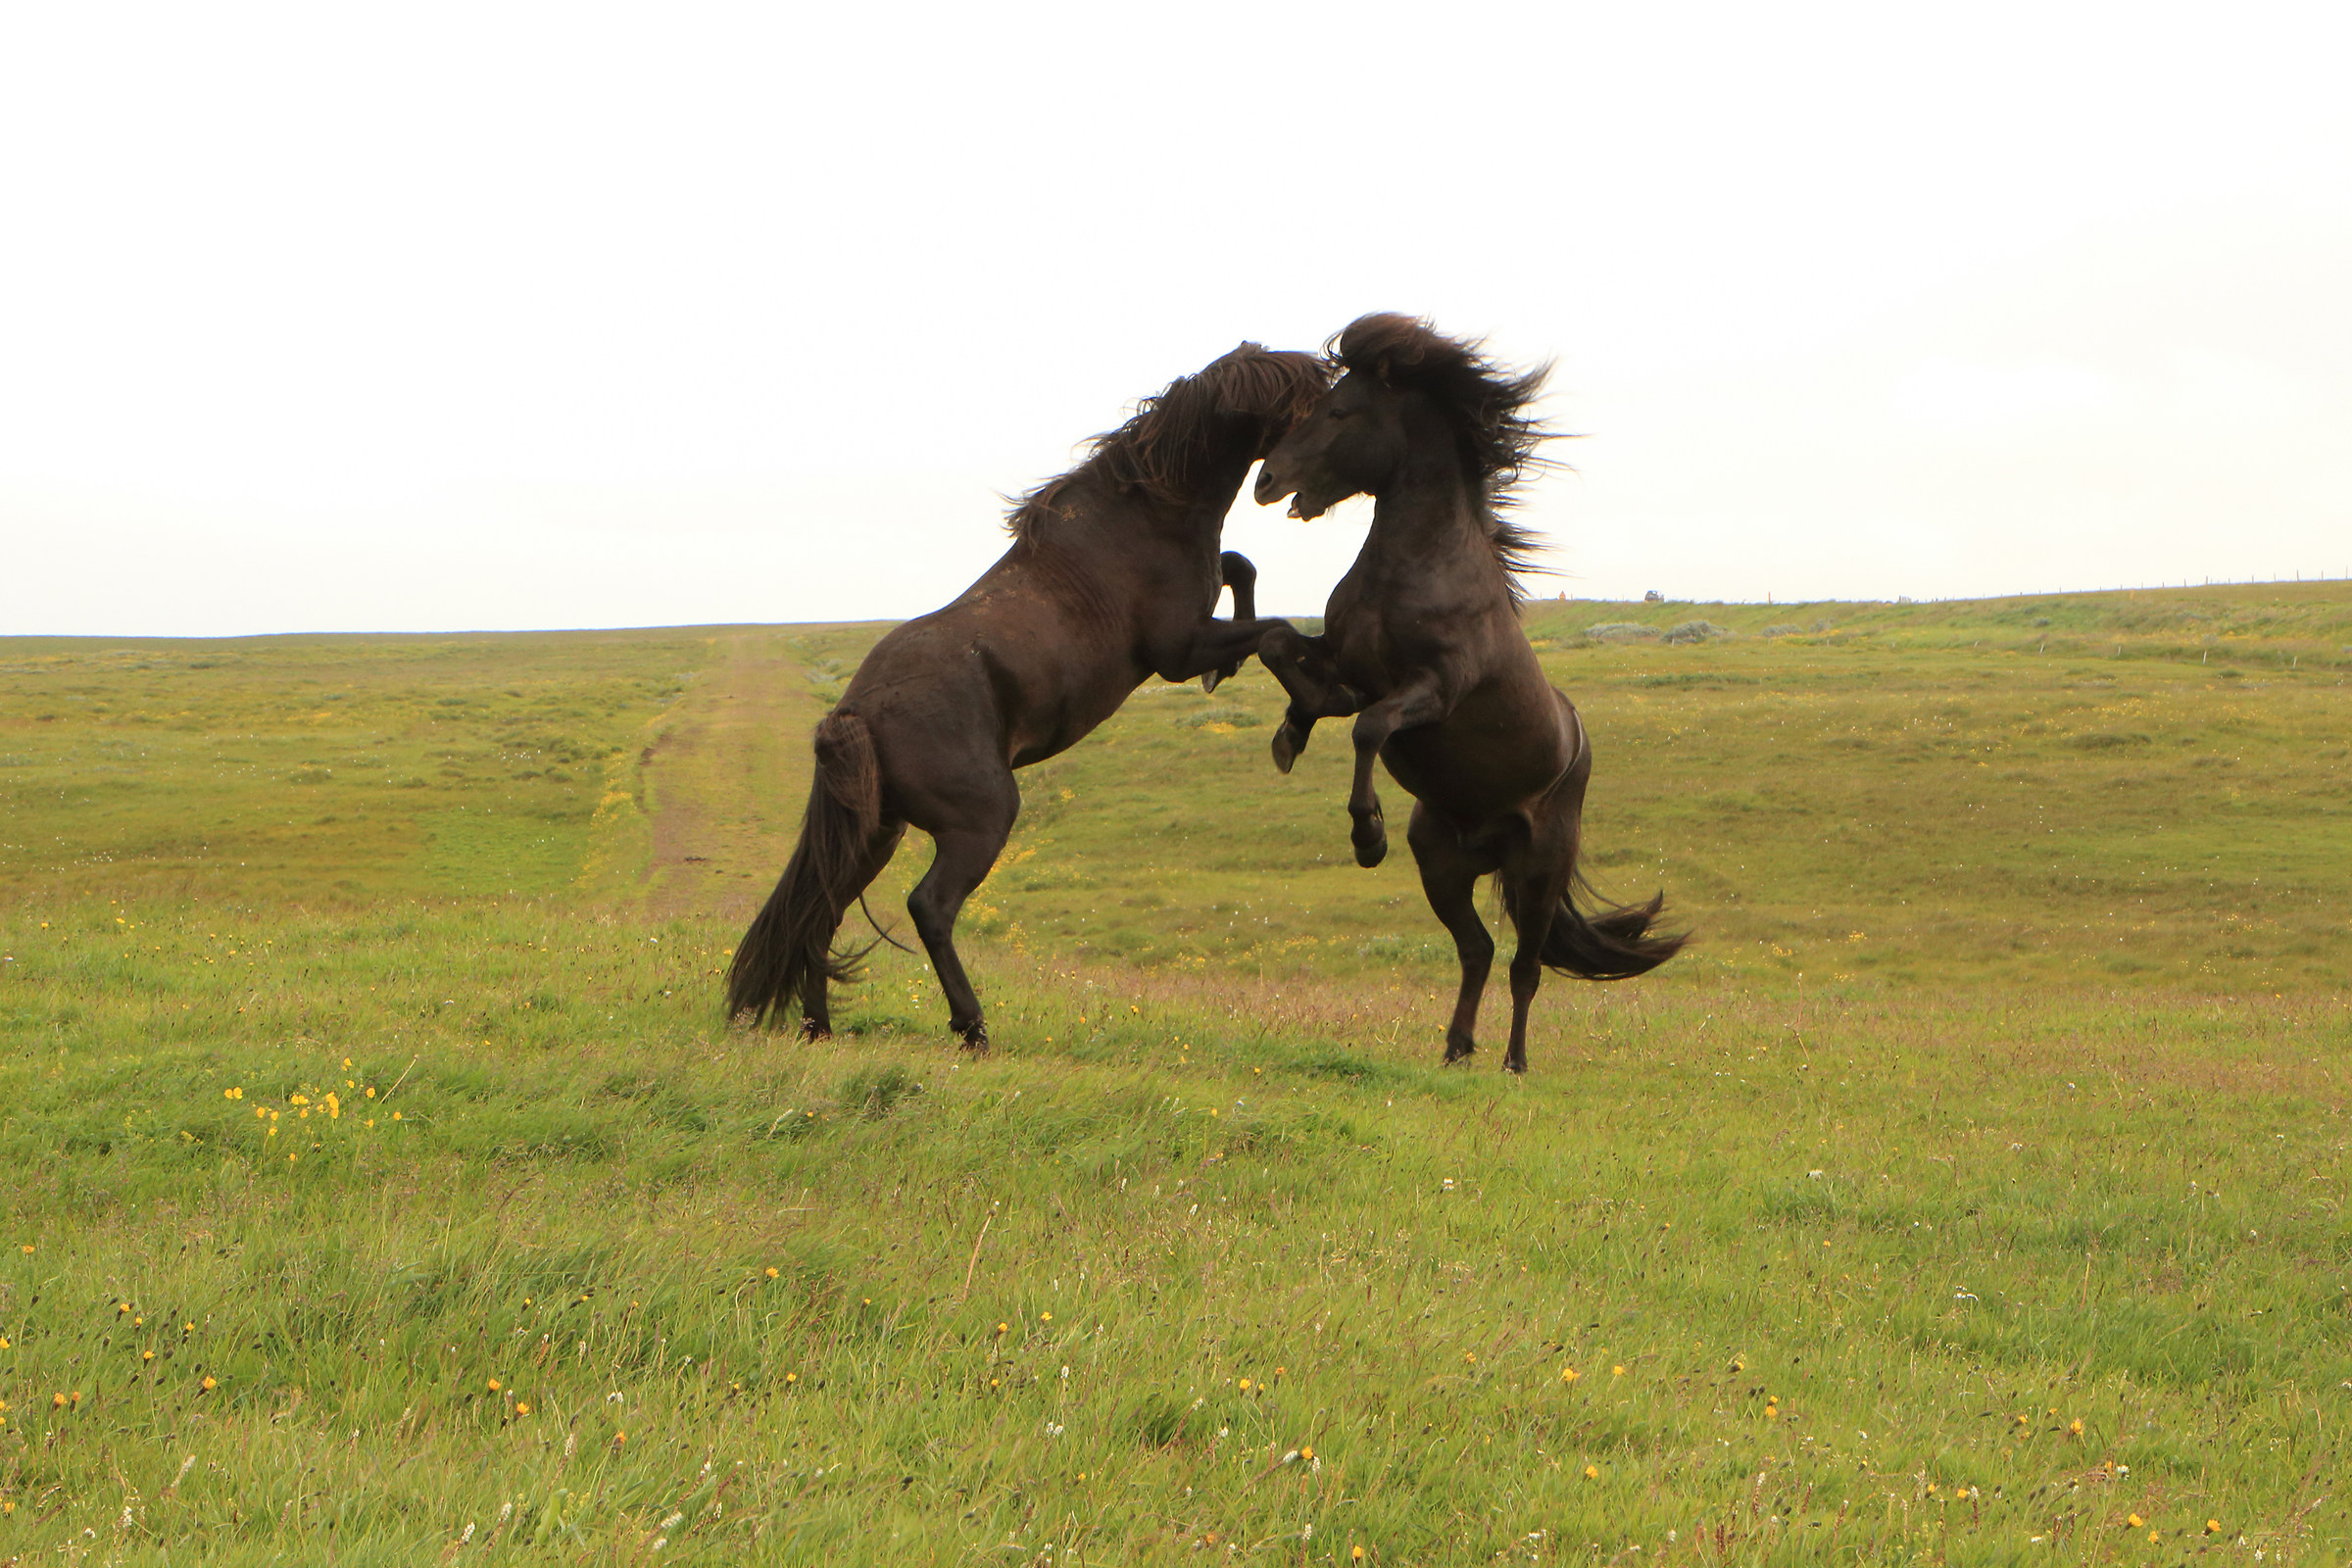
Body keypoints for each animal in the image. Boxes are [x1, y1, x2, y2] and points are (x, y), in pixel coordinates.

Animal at [728, 342, 1330, 1050]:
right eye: (1308, 395)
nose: (1286, 487)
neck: (1146, 514)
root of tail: (852, 712)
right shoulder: (1177, 651)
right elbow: (1275, 633)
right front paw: (1293, 725)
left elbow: (1242, 571)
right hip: (980, 819)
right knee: (928, 908)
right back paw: (972, 1028)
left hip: (877, 831)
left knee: (821, 911)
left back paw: (819, 1028)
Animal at [1250, 314, 1684, 1073]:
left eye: (1339, 411)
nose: (1267, 481)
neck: (1416, 567)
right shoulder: (1347, 661)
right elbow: (1281, 648)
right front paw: (1290, 735)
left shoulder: (1434, 689)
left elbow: (1368, 726)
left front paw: (1366, 835)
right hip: (1442, 867)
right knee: (1478, 951)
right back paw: (1456, 1049)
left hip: (1537, 872)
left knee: (1525, 969)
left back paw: (1513, 1063)